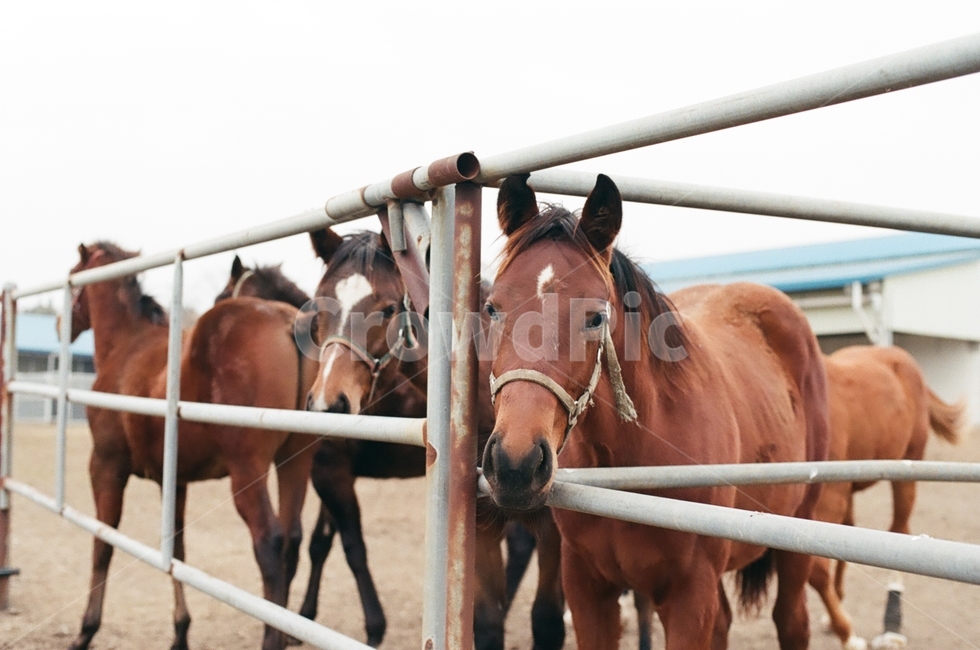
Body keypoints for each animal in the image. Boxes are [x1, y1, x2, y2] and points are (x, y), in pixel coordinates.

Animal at [65, 242, 318, 650]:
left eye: (74, 277)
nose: (63, 324)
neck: (127, 344)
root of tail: (285, 321)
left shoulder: (105, 465)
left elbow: (103, 543)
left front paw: (86, 630)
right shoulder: (175, 480)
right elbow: (177, 547)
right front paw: (181, 631)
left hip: (247, 473)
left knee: (269, 541)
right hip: (294, 462)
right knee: (292, 538)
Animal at [480, 174, 830, 650]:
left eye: (595, 317)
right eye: (492, 308)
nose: (514, 465)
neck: (632, 463)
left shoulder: (688, 598)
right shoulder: (588, 590)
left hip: (798, 534)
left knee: (792, 620)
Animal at [810, 345, 964, 650]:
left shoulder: (828, 499)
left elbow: (818, 569)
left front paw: (849, 636)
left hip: (905, 472)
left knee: (899, 530)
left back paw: (892, 627)